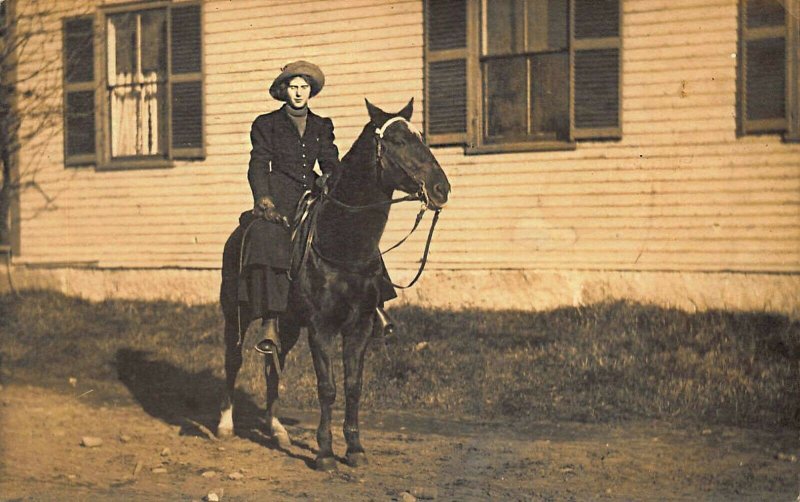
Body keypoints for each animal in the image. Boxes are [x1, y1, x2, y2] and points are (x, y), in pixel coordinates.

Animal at [216, 99, 450, 470]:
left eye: (421, 138)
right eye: (398, 141)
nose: (442, 189)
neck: (342, 243)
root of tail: (239, 230)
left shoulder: (360, 326)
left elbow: (353, 385)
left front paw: (354, 448)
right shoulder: (321, 328)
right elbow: (327, 387)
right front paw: (325, 452)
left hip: (286, 324)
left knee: (272, 366)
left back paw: (277, 430)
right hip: (235, 314)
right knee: (233, 359)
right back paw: (225, 424)